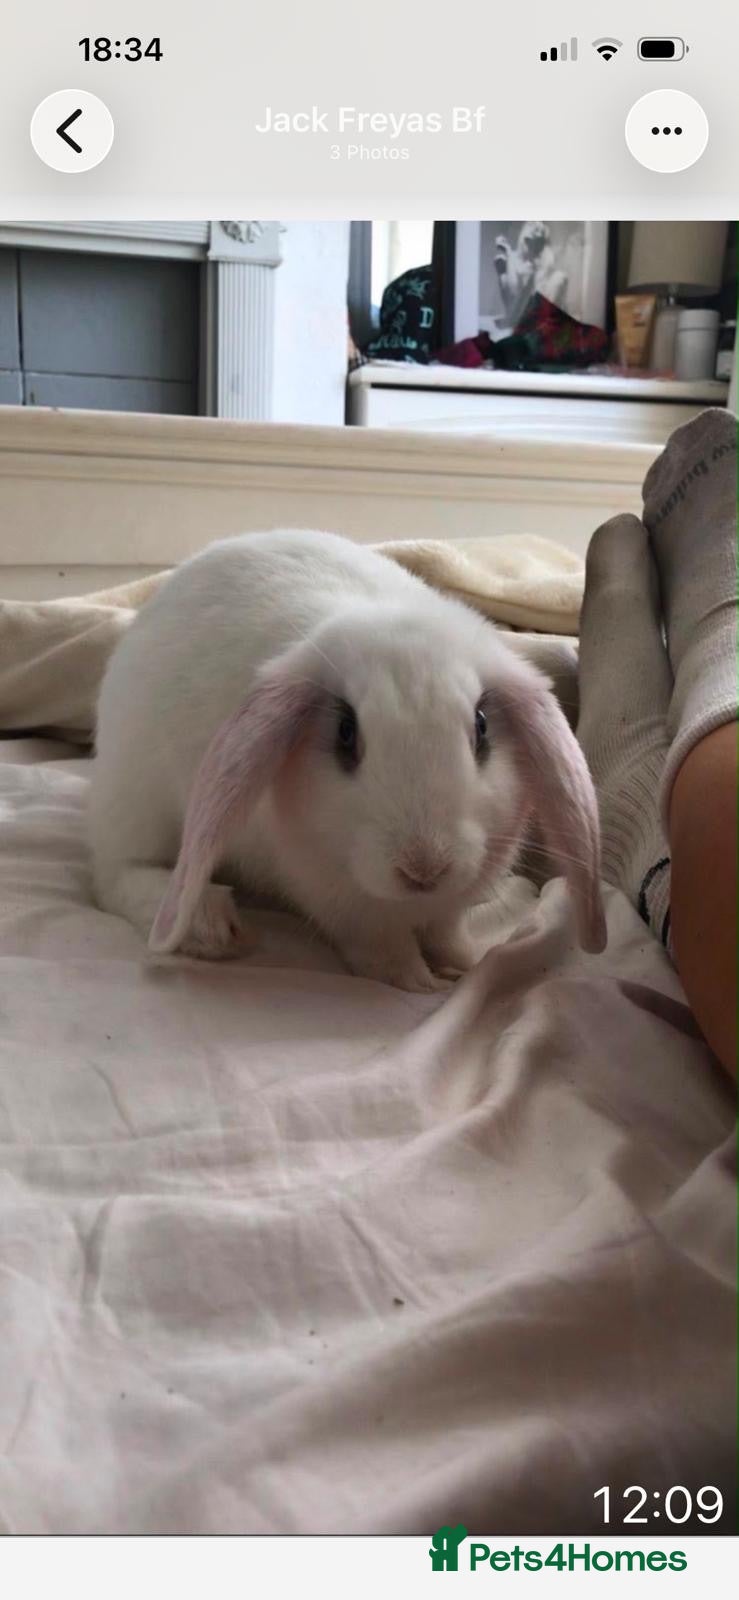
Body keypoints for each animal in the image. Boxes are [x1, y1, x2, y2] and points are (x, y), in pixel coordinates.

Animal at [89, 528, 606, 992]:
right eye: (345, 733)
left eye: (481, 727)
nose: (424, 868)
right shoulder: (337, 900)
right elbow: (382, 947)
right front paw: (419, 982)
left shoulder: (450, 904)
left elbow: (446, 933)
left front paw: (464, 965)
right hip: (138, 803)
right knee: (117, 875)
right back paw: (211, 926)